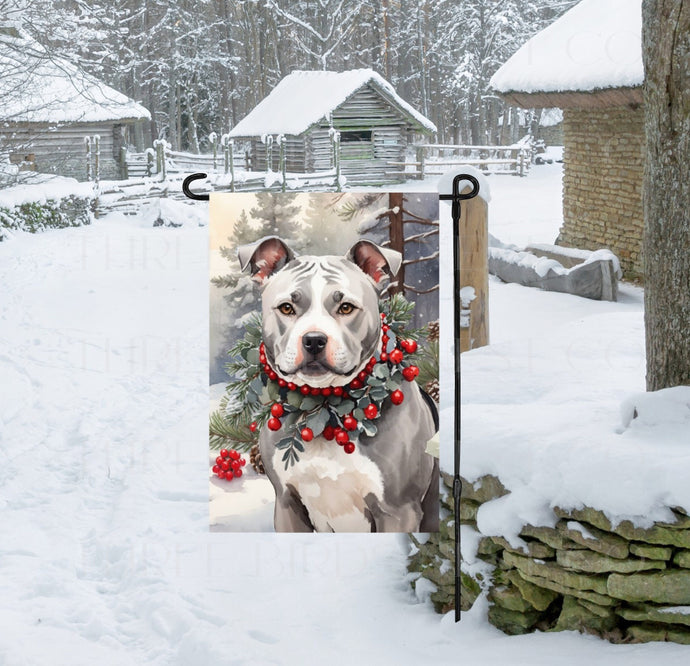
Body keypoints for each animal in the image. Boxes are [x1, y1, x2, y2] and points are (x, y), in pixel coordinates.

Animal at [239, 236, 438, 532]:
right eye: (286, 307)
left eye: (346, 307)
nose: (314, 340)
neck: (324, 411)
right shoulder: (287, 504)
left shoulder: (399, 512)